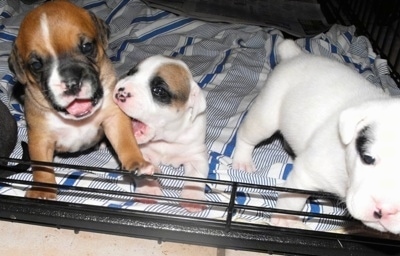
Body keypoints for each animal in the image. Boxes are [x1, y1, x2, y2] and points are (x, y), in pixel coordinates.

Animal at [9, 0, 155, 199]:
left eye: (87, 47)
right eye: (36, 65)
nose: (71, 83)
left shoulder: (114, 117)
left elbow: (125, 141)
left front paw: (137, 163)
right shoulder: (40, 138)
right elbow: (42, 167)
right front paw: (43, 190)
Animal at [113, 55, 209, 212]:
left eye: (158, 90)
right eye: (130, 73)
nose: (120, 91)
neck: (165, 138)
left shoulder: (197, 155)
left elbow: (196, 177)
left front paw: (193, 197)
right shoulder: (140, 152)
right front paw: (148, 189)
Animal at [233, 39, 400, 234]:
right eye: (367, 158)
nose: (386, 210)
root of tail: (295, 55)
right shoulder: (306, 172)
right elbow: (292, 200)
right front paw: (286, 219)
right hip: (266, 114)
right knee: (247, 135)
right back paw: (242, 161)